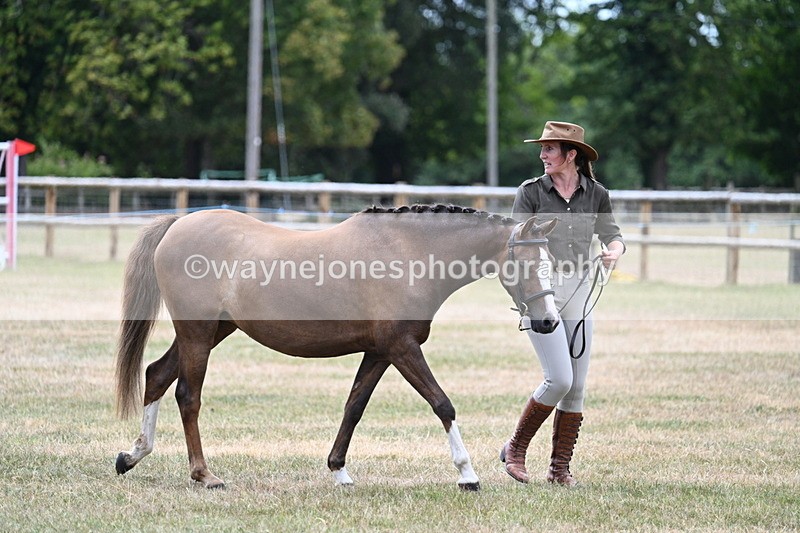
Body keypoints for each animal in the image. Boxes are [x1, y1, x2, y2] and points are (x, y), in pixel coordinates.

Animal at [114, 204, 559, 491]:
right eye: (524, 264)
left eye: (551, 264)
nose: (549, 322)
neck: (407, 252)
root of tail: (179, 224)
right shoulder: (403, 349)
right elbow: (442, 404)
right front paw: (467, 475)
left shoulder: (379, 352)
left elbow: (354, 407)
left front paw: (338, 471)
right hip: (198, 335)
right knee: (188, 397)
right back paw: (204, 475)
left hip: (210, 332)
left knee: (156, 375)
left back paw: (132, 455)